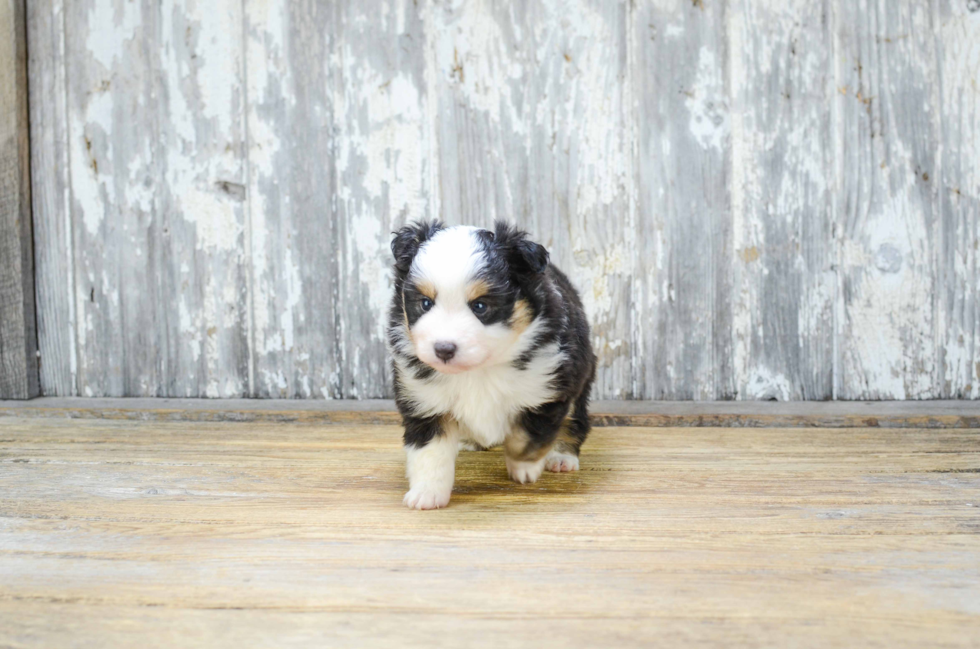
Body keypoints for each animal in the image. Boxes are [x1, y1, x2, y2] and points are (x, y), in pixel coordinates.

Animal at [386, 220, 592, 508]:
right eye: (425, 303)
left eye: (480, 306)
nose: (443, 349)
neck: (479, 370)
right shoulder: (425, 402)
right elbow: (429, 453)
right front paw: (427, 493)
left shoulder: (547, 390)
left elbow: (526, 436)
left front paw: (524, 468)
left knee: (574, 420)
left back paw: (562, 457)